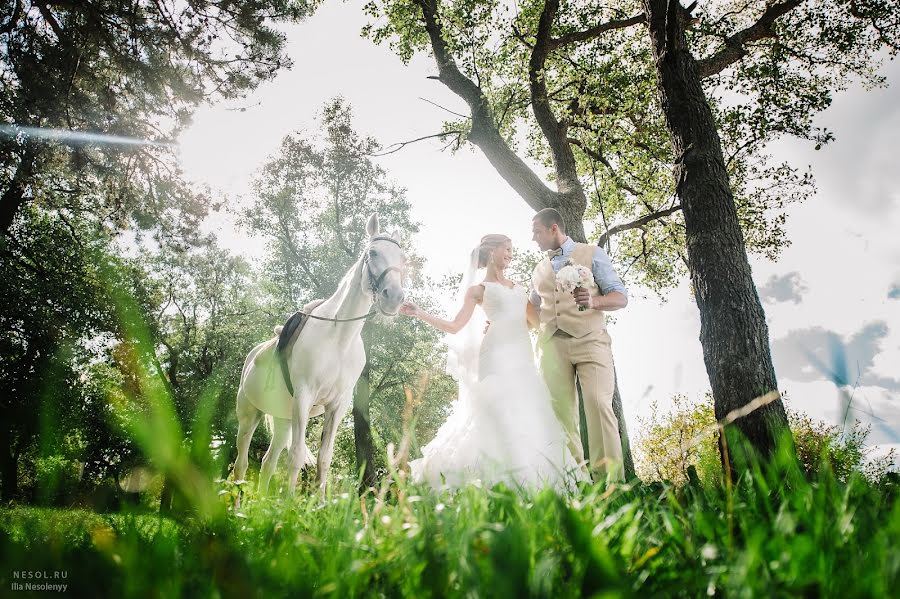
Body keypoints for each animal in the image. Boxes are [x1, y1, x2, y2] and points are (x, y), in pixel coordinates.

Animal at [237, 216, 410, 496]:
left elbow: (324, 459)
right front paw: (289, 505)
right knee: (241, 465)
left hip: (283, 419)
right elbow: (296, 456)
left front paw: (319, 503)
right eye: (373, 253)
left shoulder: (337, 405)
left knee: (267, 463)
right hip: (249, 415)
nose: (394, 297)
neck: (339, 338)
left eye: (403, 259)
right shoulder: (304, 398)